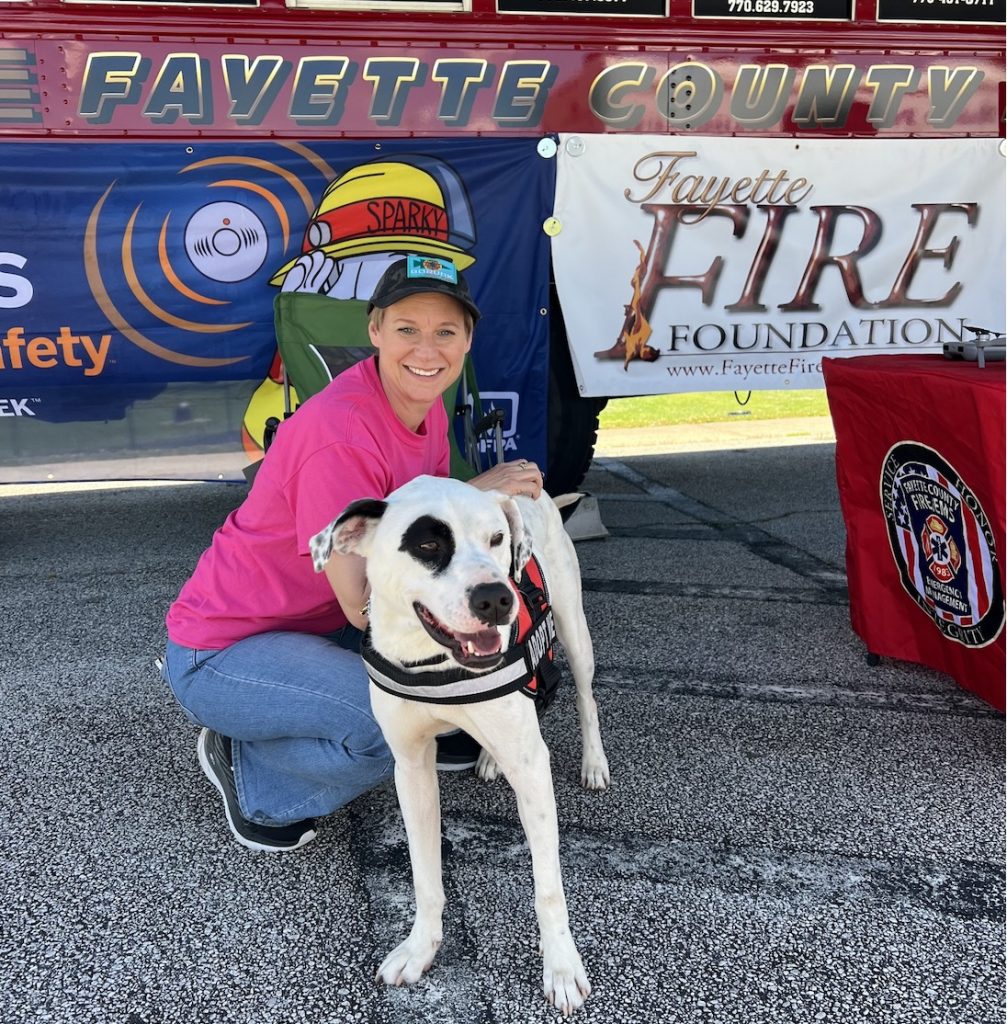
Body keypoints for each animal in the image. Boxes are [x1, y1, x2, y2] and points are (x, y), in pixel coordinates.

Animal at [307, 475, 610, 1011]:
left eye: (497, 540)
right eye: (427, 545)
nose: (497, 599)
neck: (434, 660)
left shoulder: (533, 767)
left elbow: (548, 887)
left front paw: (561, 966)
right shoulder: (411, 768)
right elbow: (425, 876)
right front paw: (420, 948)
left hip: (575, 632)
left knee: (587, 697)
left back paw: (594, 763)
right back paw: (489, 759)